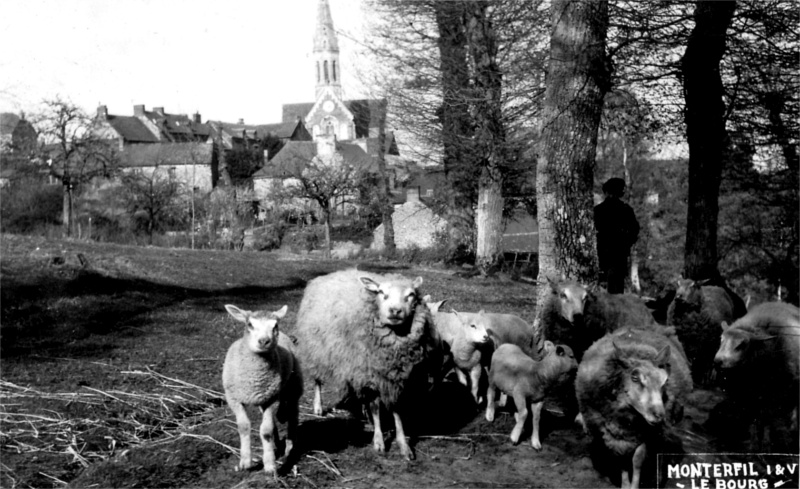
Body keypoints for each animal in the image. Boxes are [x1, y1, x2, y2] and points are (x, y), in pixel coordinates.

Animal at [222, 304, 304, 474]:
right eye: (250, 325)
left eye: (275, 325)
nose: (264, 341)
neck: (254, 375)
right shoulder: (234, 398)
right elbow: (244, 427)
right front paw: (245, 462)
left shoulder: (271, 399)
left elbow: (266, 431)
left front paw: (270, 465)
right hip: (265, 394)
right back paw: (276, 444)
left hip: (294, 383)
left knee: (293, 413)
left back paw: (290, 447)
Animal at [292, 268, 432, 460]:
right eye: (381, 293)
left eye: (411, 295)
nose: (395, 311)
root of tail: (329, 274)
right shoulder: (368, 373)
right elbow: (375, 407)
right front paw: (379, 441)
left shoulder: (394, 378)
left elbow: (397, 411)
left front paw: (404, 445)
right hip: (316, 350)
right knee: (317, 380)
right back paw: (318, 407)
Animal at [576, 326, 692, 489]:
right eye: (635, 378)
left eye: (664, 381)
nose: (659, 416)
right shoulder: (614, 435)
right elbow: (622, 459)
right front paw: (625, 484)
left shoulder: (646, 434)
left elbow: (637, 460)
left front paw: (635, 484)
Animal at [712, 300, 800, 452]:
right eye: (721, 339)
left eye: (742, 344)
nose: (718, 361)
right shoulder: (747, 396)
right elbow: (753, 420)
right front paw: (752, 445)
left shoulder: (775, 396)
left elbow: (767, 419)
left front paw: (765, 446)